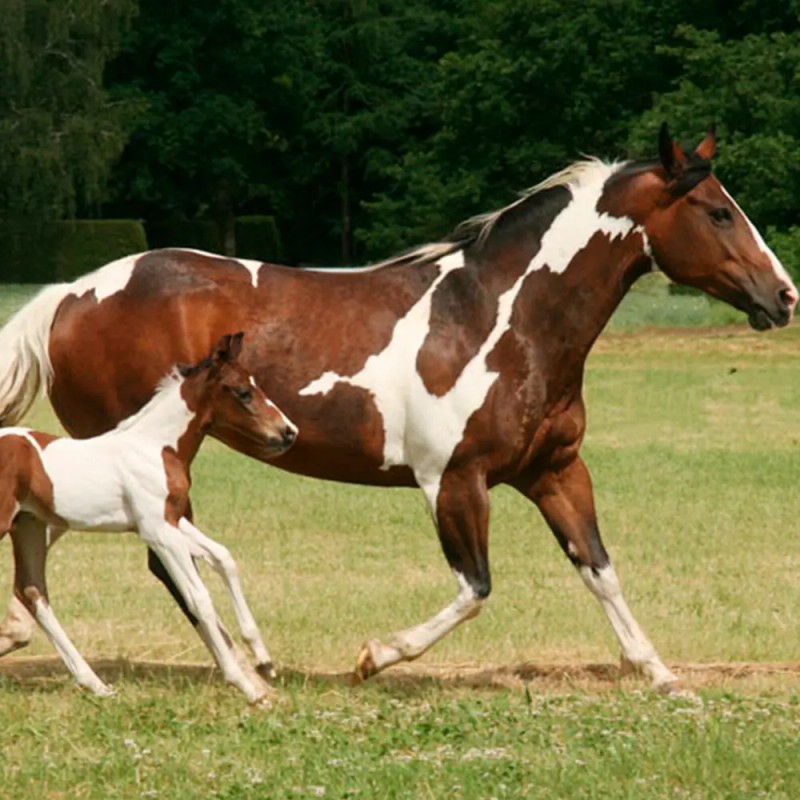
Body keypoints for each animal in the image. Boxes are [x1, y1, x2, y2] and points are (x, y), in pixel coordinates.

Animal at [0, 332, 297, 701]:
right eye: (243, 391)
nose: (288, 432)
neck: (156, 447)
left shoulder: (170, 520)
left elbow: (223, 558)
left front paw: (263, 660)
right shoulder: (158, 532)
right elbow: (198, 597)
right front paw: (244, 685)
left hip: (29, 525)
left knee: (32, 590)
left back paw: (96, 684)